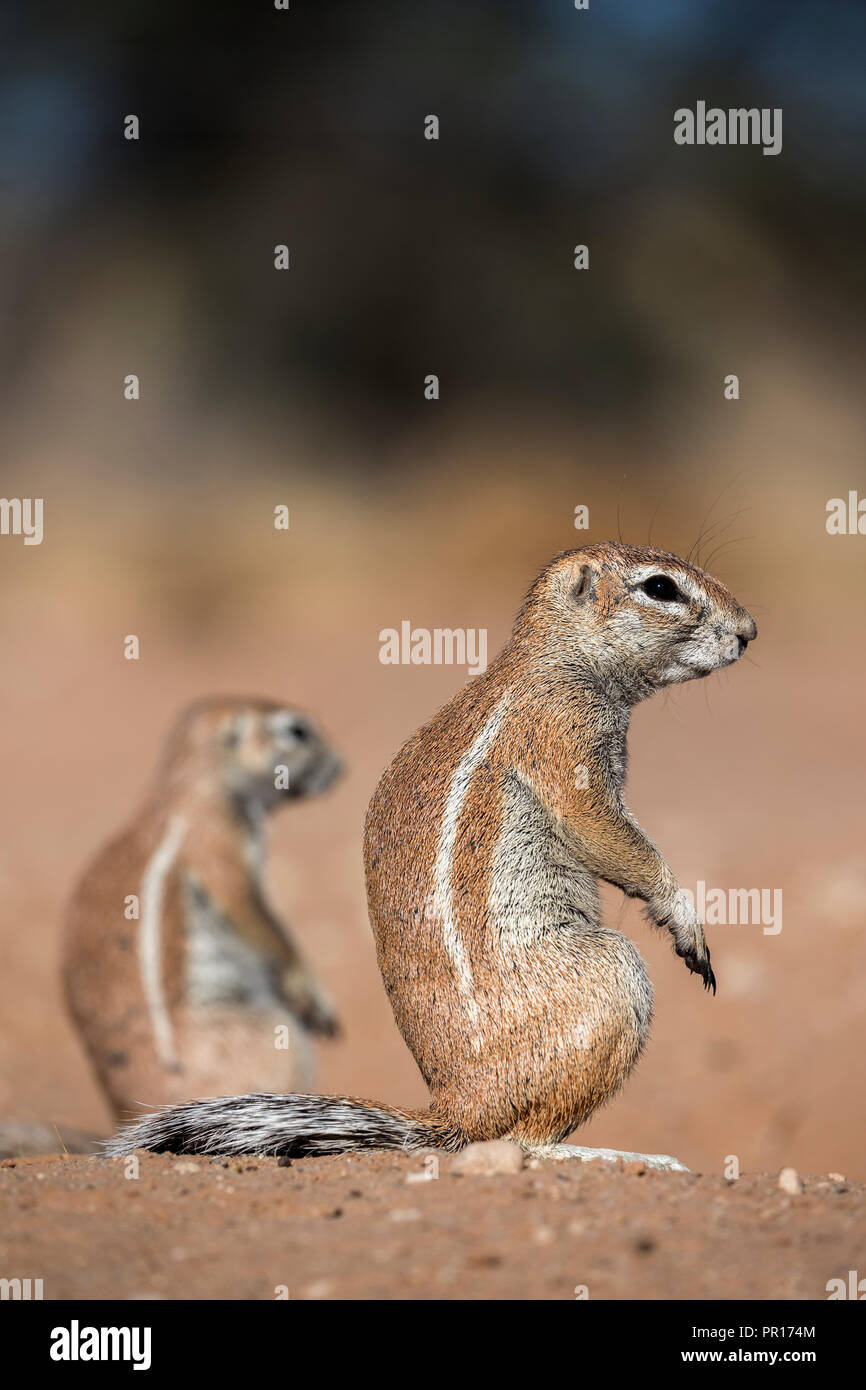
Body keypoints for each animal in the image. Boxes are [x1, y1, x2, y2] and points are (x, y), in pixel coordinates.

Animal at [65, 689, 341, 1123]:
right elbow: (261, 922)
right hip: (276, 1038)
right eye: (297, 731)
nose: (340, 768)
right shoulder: (222, 851)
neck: (192, 783)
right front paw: (318, 1001)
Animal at [107, 547, 756, 1167]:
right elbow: (601, 831)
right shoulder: (566, 739)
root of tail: (456, 1108)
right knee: (521, 1140)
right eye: (661, 587)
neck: (554, 660)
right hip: (612, 976)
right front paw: (684, 918)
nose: (749, 631)